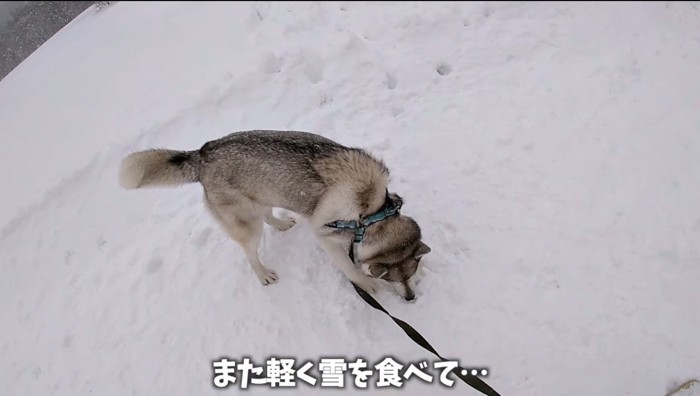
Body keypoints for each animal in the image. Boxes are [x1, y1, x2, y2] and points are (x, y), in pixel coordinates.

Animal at [117, 130, 430, 300]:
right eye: (391, 279)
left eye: (411, 275)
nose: (411, 298)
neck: (374, 212)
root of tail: (202, 154)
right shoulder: (324, 232)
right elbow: (350, 267)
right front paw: (365, 284)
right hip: (247, 224)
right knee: (250, 251)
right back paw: (263, 274)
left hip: (266, 192)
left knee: (267, 214)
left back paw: (281, 223)